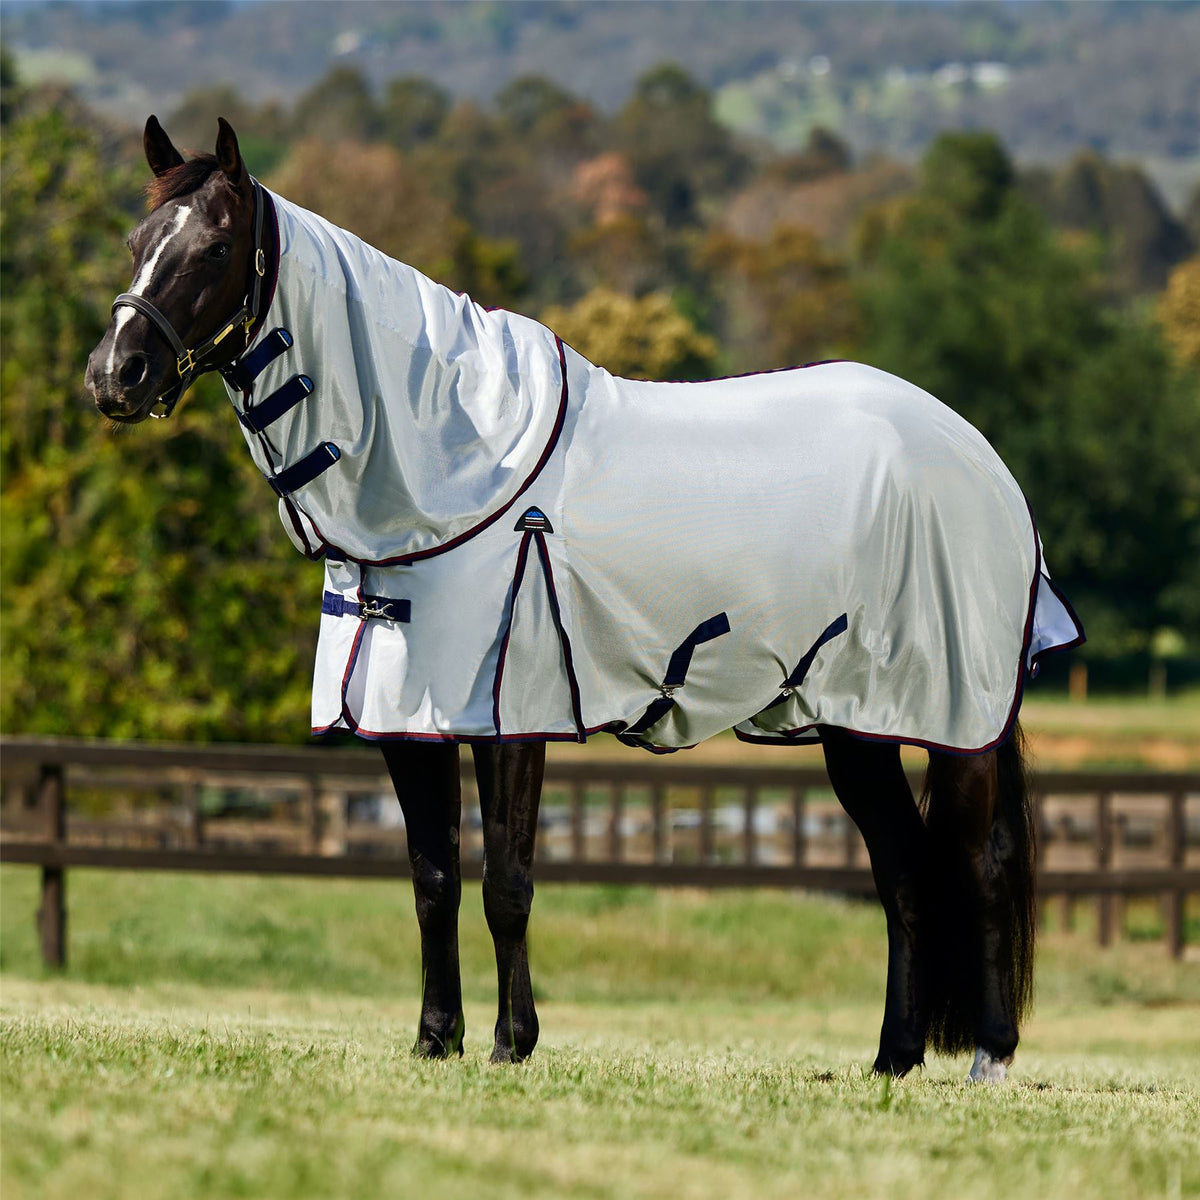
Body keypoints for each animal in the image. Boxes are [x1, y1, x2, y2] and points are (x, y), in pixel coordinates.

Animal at [85, 117, 1084, 1081]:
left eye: (216, 247)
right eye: (137, 240)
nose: (113, 376)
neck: (451, 455)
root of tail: (981, 459)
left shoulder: (512, 713)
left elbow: (508, 882)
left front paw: (511, 1043)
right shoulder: (408, 715)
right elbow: (433, 881)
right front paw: (435, 1041)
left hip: (955, 718)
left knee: (980, 864)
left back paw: (989, 1057)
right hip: (855, 723)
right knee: (904, 871)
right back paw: (893, 1059)